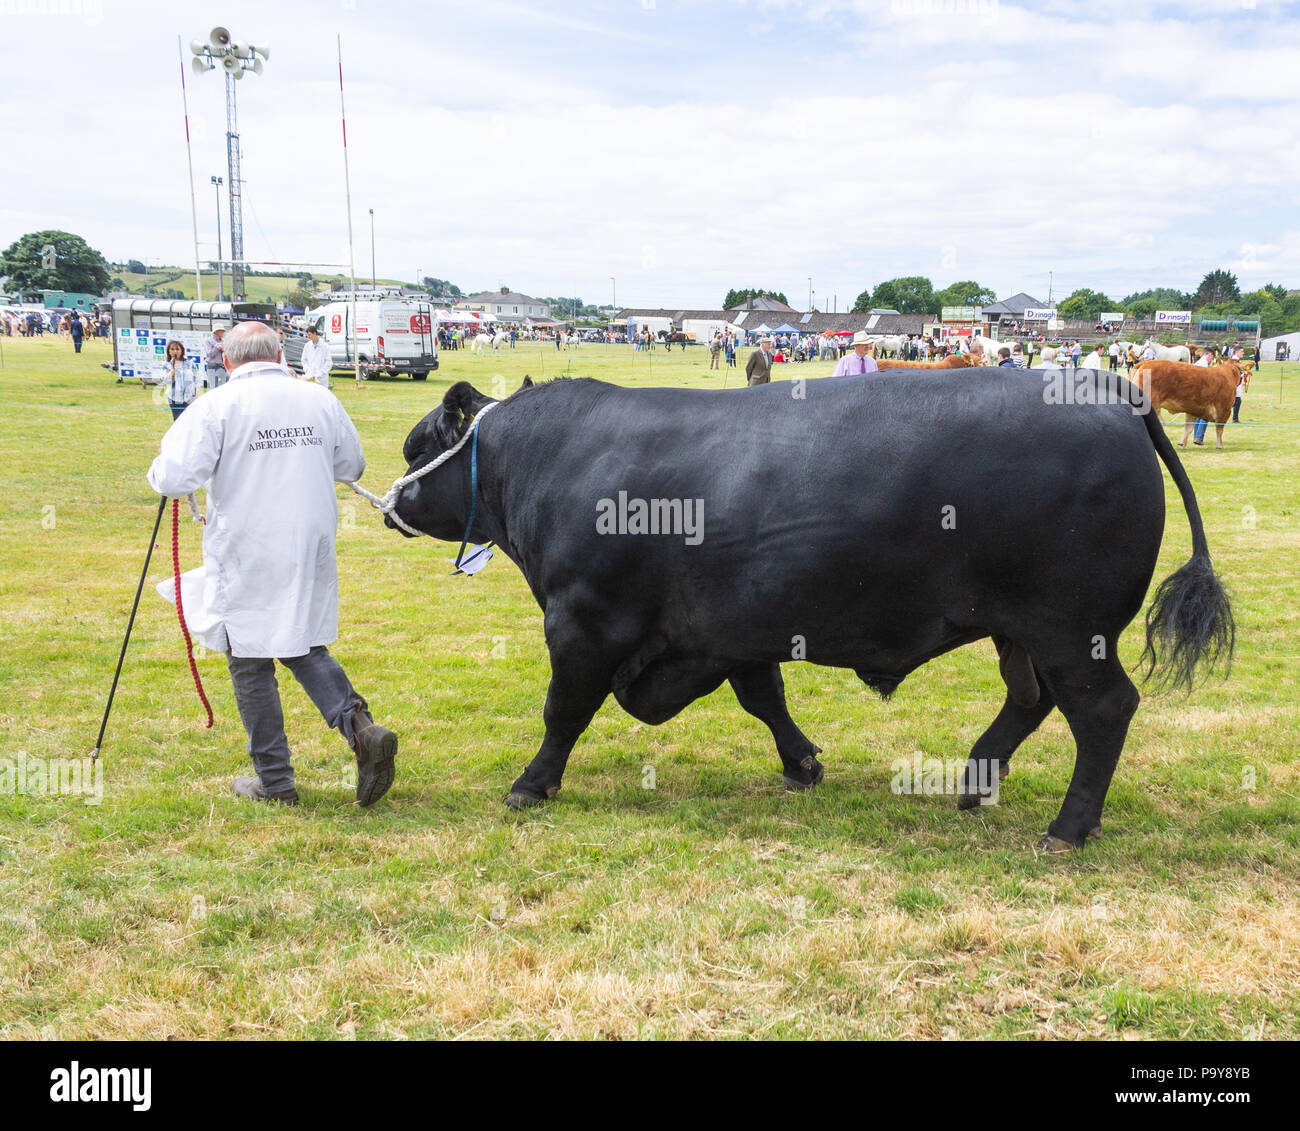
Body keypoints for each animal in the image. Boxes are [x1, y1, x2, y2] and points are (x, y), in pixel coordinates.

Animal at [387, 371, 1233, 851]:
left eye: (416, 446)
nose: (390, 502)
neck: (550, 458)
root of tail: (1108, 391)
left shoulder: (583, 621)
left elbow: (563, 710)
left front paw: (532, 783)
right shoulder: (733, 627)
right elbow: (764, 696)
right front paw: (803, 763)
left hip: (1071, 629)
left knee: (1102, 710)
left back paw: (1067, 827)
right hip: (1025, 632)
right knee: (1032, 702)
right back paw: (972, 779)